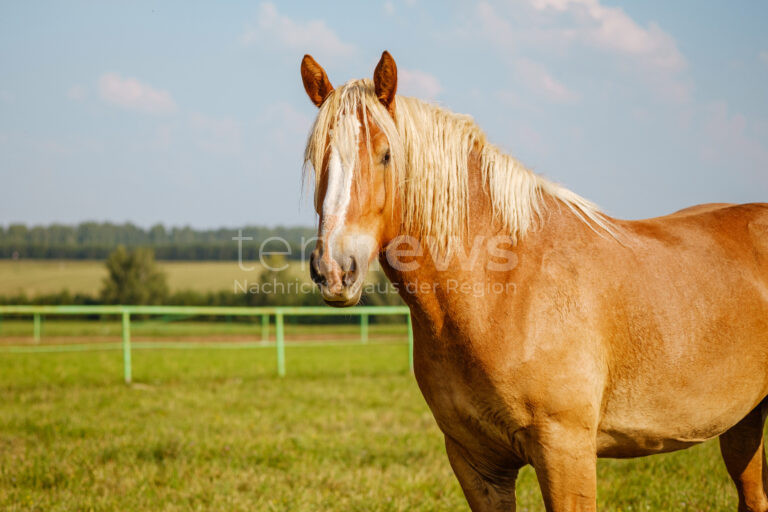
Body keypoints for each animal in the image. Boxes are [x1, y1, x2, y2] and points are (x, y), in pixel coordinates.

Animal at [298, 52, 768, 512]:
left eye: (385, 155)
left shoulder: (565, 452)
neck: (503, 290)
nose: (334, 270)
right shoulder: (476, 463)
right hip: (744, 421)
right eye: (317, 160)